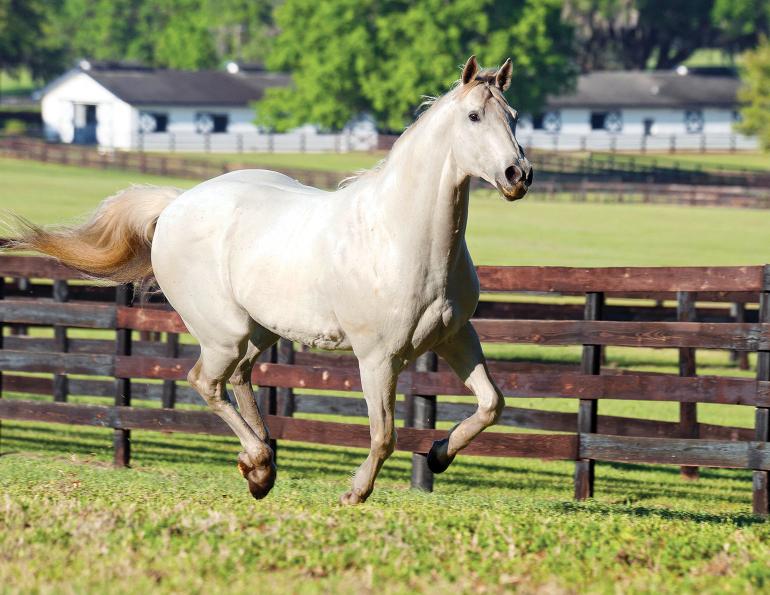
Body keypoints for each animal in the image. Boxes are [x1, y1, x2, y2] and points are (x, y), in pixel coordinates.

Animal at [10, 56, 532, 504]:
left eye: (513, 116)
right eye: (473, 117)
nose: (518, 175)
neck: (401, 236)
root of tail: (176, 204)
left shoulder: (455, 336)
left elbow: (492, 403)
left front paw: (439, 455)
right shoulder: (378, 357)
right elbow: (384, 434)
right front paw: (355, 492)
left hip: (260, 328)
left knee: (241, 377)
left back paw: (260, 467)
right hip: (224, 334)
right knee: (207, 382)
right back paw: (259, 462)